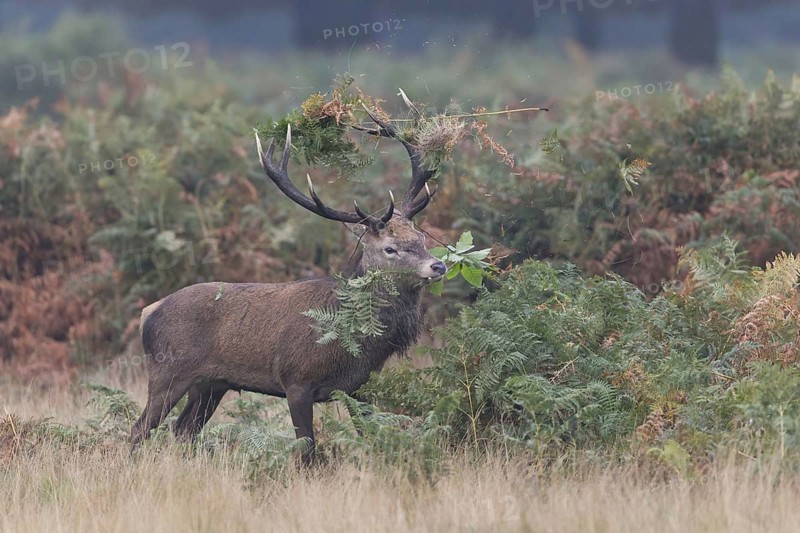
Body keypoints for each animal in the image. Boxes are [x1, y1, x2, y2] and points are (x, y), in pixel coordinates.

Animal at [129, 104, 446, 465]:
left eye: (421, 238)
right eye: (390, 248)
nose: (438, 265)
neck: (351, 343)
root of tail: (148, 312)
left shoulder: (360, 387)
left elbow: (371, 436)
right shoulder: (296, 381)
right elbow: (306, 450)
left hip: (211, 384)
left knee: (183, 430)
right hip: (168, 371)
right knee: (141, 428)